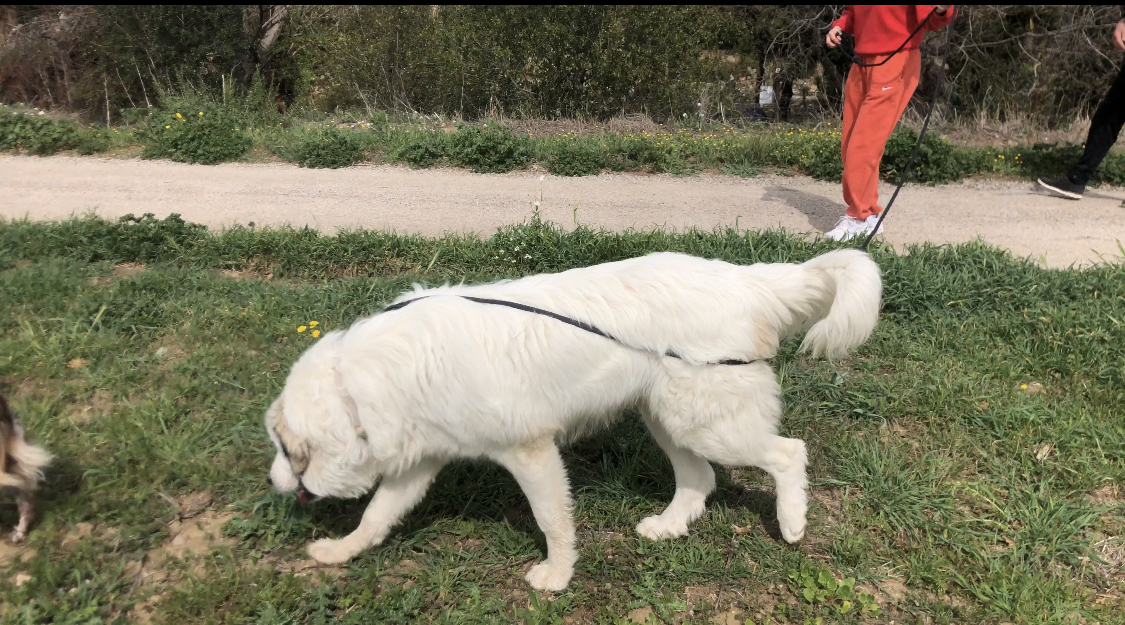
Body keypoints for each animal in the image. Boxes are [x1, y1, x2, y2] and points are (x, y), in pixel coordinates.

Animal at [267, 249, 882, 589]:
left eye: (287, 450)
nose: (272, 484)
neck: (365, 382)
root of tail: (747, 280)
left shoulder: (531, 453)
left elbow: (553, 522)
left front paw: (557, 578)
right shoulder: (420, 463)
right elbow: (376, 517)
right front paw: (338, 553)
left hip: (708, 424)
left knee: (788, 452)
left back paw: (792, 522)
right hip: (667, 419)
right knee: (700, 479)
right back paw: (668, 526)